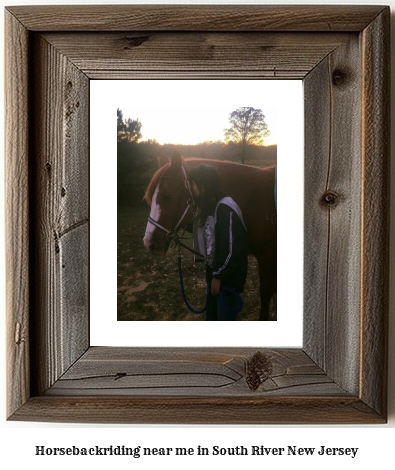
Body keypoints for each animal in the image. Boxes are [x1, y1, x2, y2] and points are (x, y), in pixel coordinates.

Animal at [144, 149, 276, 322]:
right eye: (150, 198)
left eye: (168, 197)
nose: (149, 243)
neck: (256, 199)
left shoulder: (268, 255)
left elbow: (266, 293)